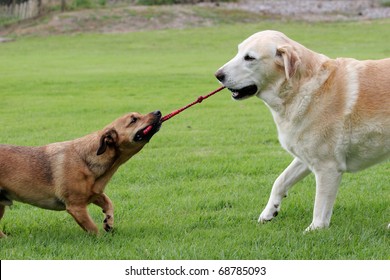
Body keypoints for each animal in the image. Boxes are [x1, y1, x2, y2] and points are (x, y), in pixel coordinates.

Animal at [0, 109, 161, 236]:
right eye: (133, 120)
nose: (158, 112)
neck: (85, 158)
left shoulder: (95, 193)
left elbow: (109, 203)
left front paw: (108, 222)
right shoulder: (76, 207)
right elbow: (93, 229)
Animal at [215, 31, 388, 232]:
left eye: (249, 58)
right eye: (238, 51)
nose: (217, 75)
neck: (302, 89)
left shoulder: (327, 167)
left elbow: (320, 209)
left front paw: (314, 230)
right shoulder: (305, 157)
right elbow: (280, 181)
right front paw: (269, 212)